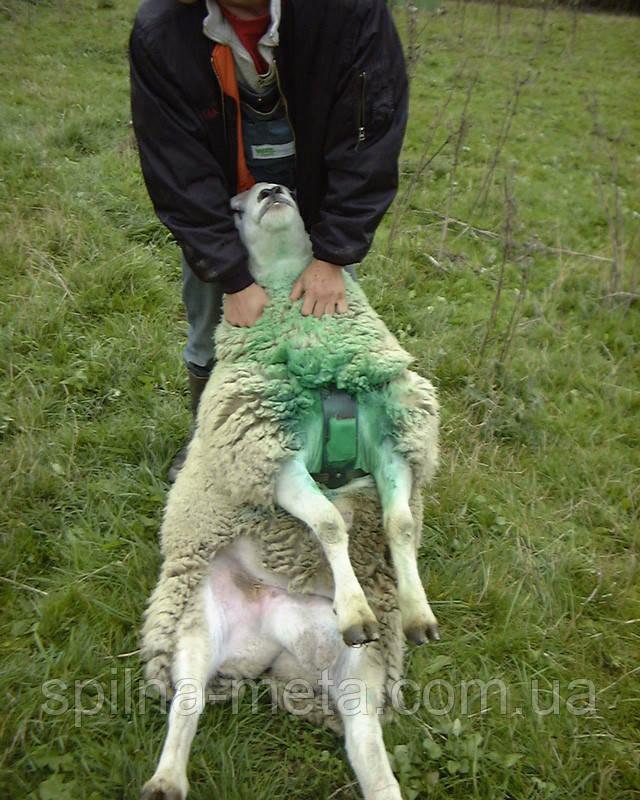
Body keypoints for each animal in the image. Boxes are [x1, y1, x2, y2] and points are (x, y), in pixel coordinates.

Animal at [140, 184, 440, 796]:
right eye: (233, 205)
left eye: (293, 191)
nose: (271, 190)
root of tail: (275, 645)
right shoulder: (270, 453)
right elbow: (328, 520)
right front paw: (355, 608)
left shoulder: (391, 440)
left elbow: (398, 523)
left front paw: (417, 612)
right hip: (196, 621)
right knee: (188, 701)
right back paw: (166, 779)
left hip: (359, 673)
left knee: (366, 746)